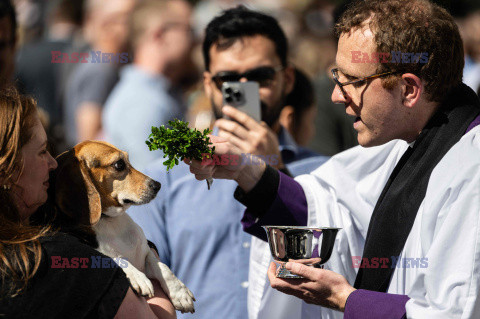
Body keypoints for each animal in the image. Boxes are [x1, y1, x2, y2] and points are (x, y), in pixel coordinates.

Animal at [50, 141, 195, 314]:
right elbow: (115, 258)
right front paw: (138, 277)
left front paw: (180, 293)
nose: (158, 185)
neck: (111, 222)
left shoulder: (145, 253)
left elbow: (163, 267)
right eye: (119, 164)